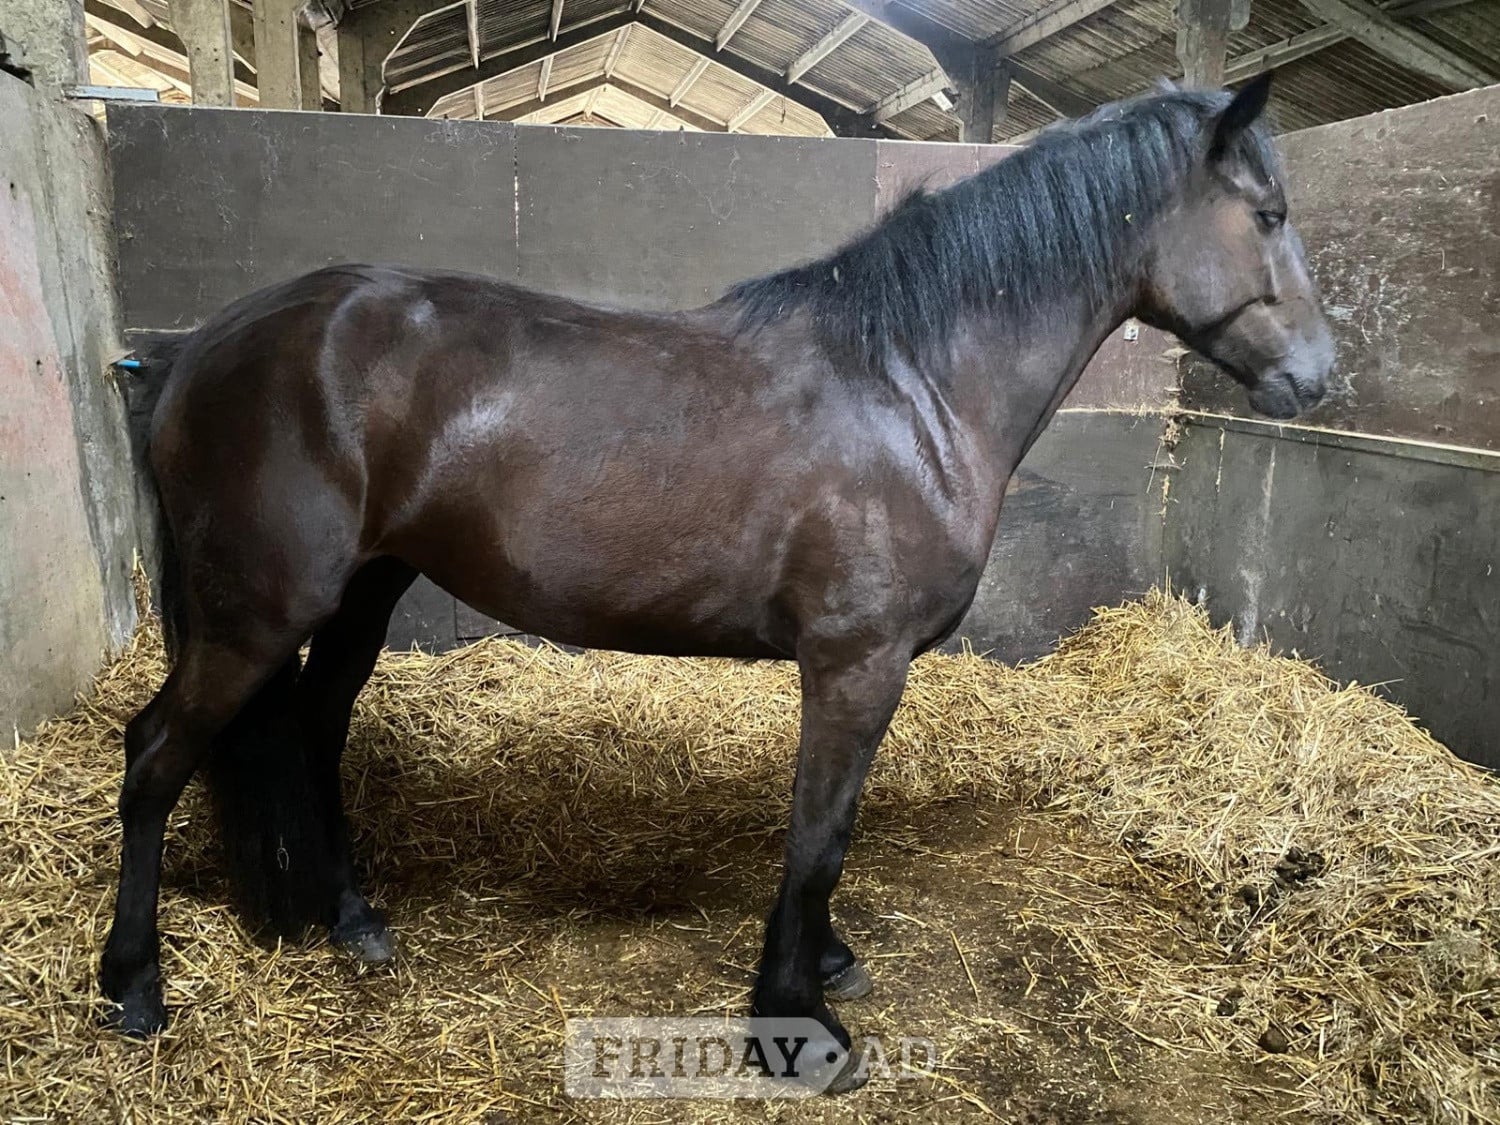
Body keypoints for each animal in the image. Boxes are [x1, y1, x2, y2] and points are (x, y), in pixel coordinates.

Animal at [102, 75, 1332, 1091]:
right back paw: (133, 985)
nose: (1320, 377)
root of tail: (201, 348)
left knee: (314, 729)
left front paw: (826, 963)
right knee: (155, 756)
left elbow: (828, 833)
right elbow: (819, 835)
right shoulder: (855, 664)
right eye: (1269, 217)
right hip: (255, 616)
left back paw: (351, 919)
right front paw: (796, 1022)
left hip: (364, 589)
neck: (909, 386)